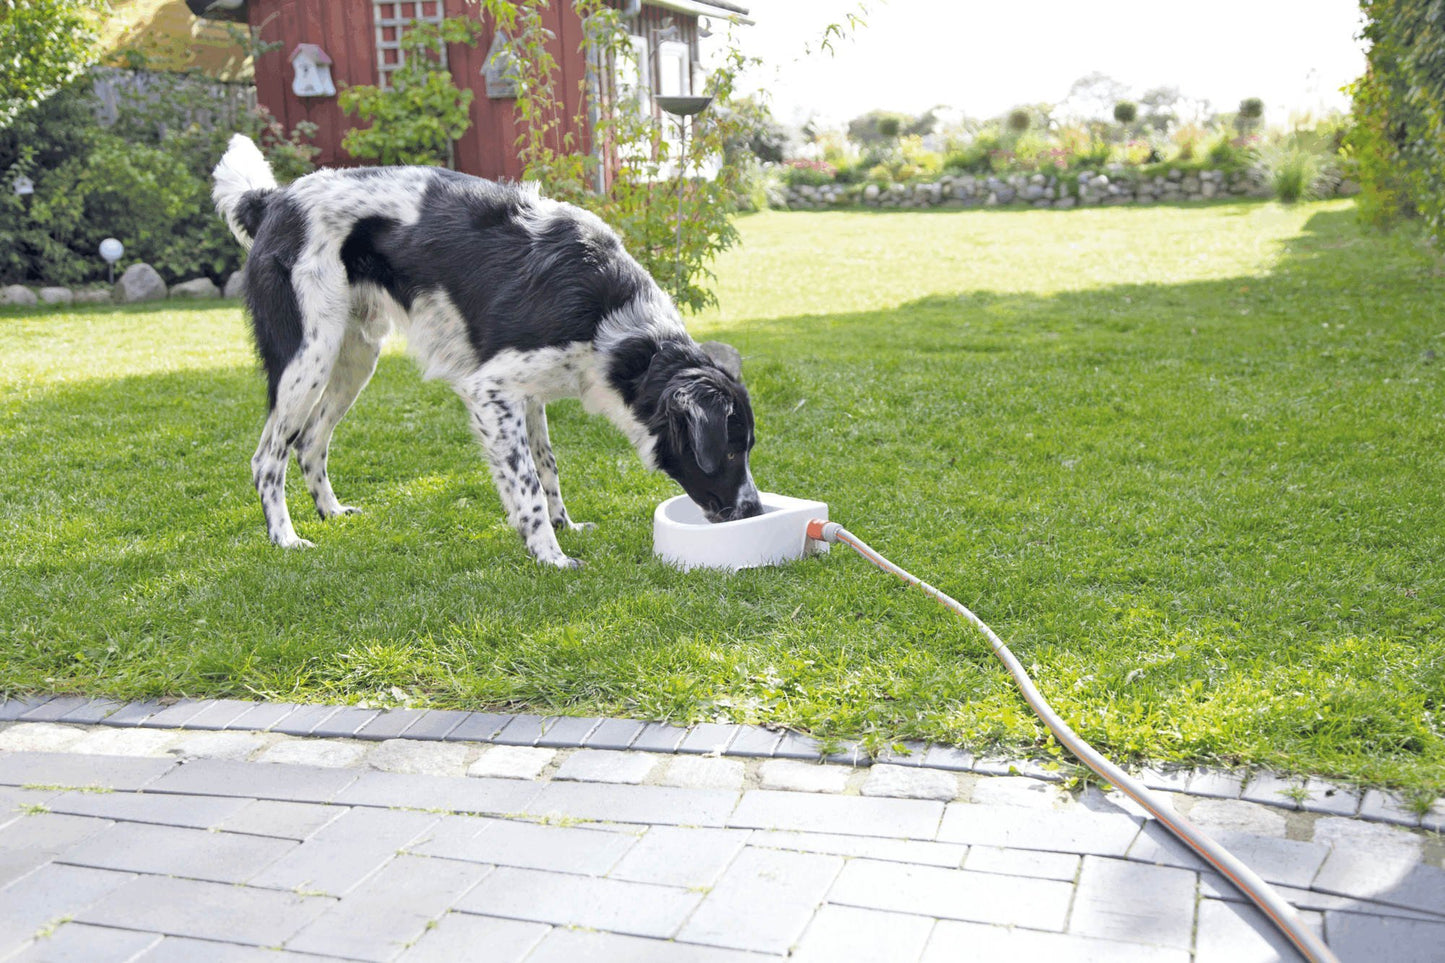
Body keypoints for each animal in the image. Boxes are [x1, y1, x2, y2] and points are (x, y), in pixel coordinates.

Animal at [210, 136, 768, 569]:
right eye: (731, 450)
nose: (755, 512)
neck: (616, 324)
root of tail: (274, 199)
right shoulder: (490, 388)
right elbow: (526, 482)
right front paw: (550, 555)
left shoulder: (529, 392)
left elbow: (546, 466)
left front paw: (564, 526)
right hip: (308, 356)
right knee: (267, 458)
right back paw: (285, 538)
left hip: (354, 356)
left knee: (309, 442)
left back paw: (331, 513)